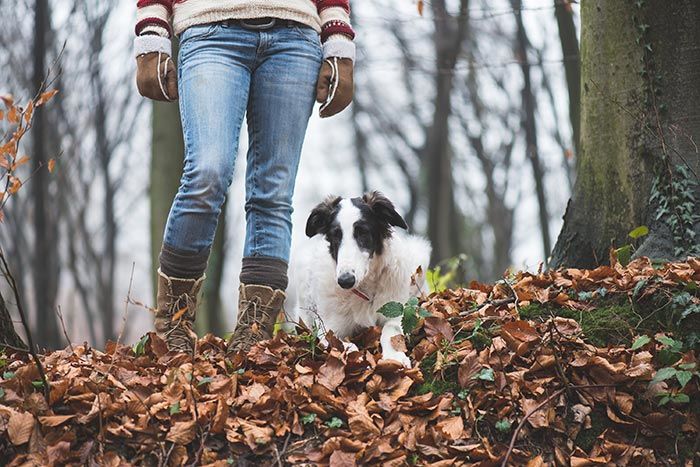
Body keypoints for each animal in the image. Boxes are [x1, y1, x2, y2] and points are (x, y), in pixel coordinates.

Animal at [286, 192, 430, 368]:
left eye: (363, 233)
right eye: (336, 236)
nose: (345, 280)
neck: (365, 289)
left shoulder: (397, 311)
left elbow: (391, 330)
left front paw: (394, 356)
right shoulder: (328, 329)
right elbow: (342, 344)